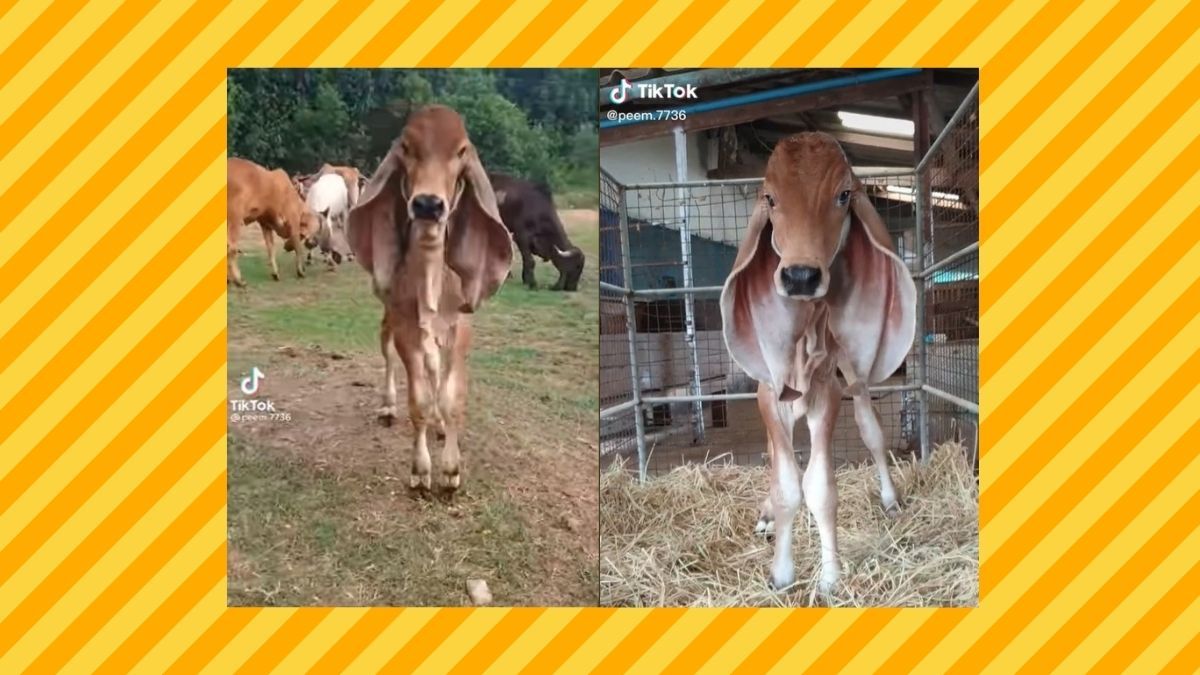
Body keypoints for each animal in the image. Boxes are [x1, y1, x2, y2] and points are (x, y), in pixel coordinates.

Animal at [228, 157, 320, 287]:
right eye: (304, 235)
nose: (314, 243)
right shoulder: (293, 221)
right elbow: (298, 247)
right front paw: (301, 271)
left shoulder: (266, 225)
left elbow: (270, 249)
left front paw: (275, 273)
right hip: (235, 219)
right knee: (231, 247)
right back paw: (239, 280)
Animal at [348, 105, 513, 493]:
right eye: (406, 147)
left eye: (461, 150)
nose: (427, 204)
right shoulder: (405, 323)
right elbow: (418, 398)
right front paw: (422, 470)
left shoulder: (460, 326)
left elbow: (451, 395)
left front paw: (451, 469)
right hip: (387, 315)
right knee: (389, 354)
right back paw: (388, 406)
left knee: (436, 366)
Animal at [719, 133, 916, 594]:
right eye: (769, 198)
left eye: (843, 195)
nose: (801, 277)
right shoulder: (768, 392)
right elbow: (786, 482)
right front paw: (781, 571)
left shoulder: (828, 390)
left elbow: (820, 487)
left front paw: (829, 577)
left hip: (855, 374)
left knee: (871, 431)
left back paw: (890, 498)